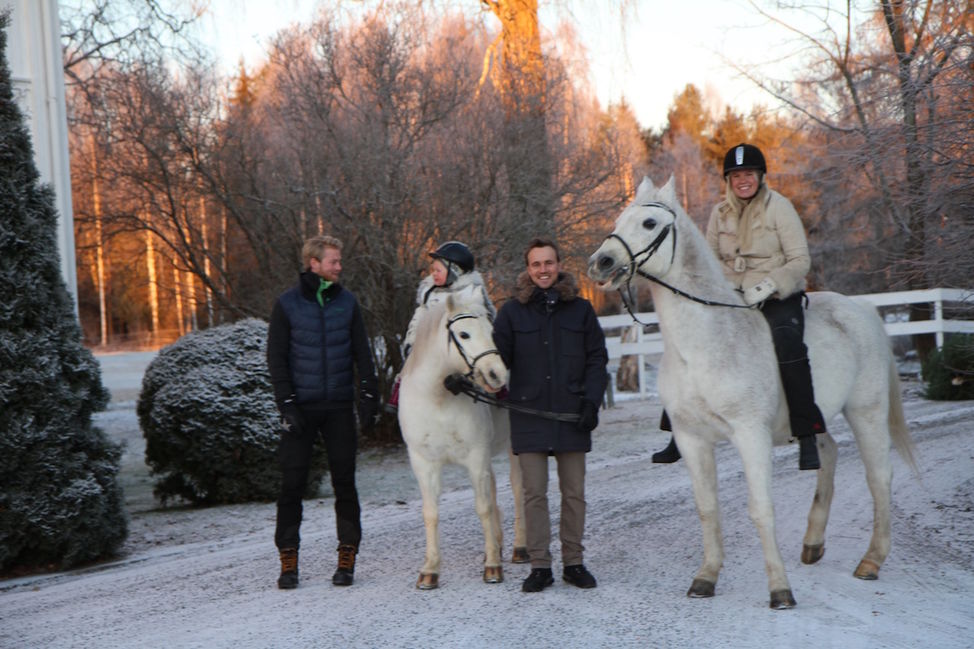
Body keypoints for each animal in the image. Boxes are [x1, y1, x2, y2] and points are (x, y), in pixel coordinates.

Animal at [396, 284, 528, 588]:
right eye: (464, 334)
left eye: (492, 330)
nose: (497, 373)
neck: (438, 399)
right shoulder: (424, 463)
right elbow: (431, 513)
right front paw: (430, 569)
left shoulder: (476, 457)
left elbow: (483, 507)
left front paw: (492, 567)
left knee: (518, 490)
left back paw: (519, 547)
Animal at [592, 176, 920, 608]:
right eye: (618, 220)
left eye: (648, 223)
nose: (601, 262)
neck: (705, 342)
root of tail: (863, 309)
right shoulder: (692, 439)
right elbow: (707, 509)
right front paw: (706, 578)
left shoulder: (751, 435)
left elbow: (761, 509)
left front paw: (780, 590)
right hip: (813, 417)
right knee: (829, 454)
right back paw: (813, 543)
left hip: (866, 412)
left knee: (879, 476)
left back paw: (871, 561)